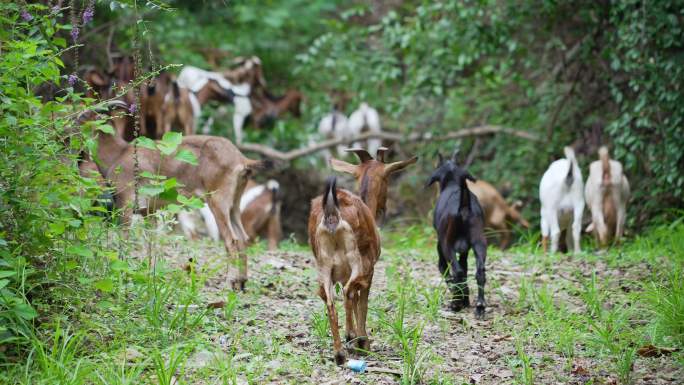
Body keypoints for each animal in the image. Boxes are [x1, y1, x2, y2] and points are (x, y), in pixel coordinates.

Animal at [308, 177, 380, 364]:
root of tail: (332, 216)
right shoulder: (368, 272)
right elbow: (362, 304)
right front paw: (363, 343)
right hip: (358, 260)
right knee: (348, 292)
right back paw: (352, 337)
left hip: (324, 266)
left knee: (330, 302)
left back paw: (339, 354)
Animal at [428, 156, 486, 318]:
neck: (453, 181)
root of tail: (464, 205)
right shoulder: (465, 251)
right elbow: (465, 270)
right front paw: (465, 299)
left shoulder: (442, 248)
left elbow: (448, 274)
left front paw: (460, 298)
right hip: (480, 243)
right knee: (479, 272)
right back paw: (480, 306)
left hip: (447, 246)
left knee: (457, 272)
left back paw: (455, 303)